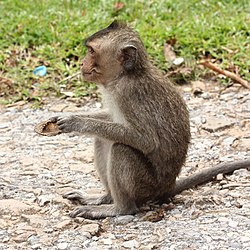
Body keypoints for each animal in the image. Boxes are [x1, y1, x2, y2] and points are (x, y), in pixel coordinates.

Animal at [47, 22, 250, 220]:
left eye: (91, 51)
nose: (82, 62)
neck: (125, 75)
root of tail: (167, 187)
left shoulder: (129, 94)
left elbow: (146, 141)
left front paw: (76, 122)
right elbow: (112, 119)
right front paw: (62, 117)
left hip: (147, 186)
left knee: (121, 149)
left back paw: (119, 208)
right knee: (102, 140)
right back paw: (104, 198)